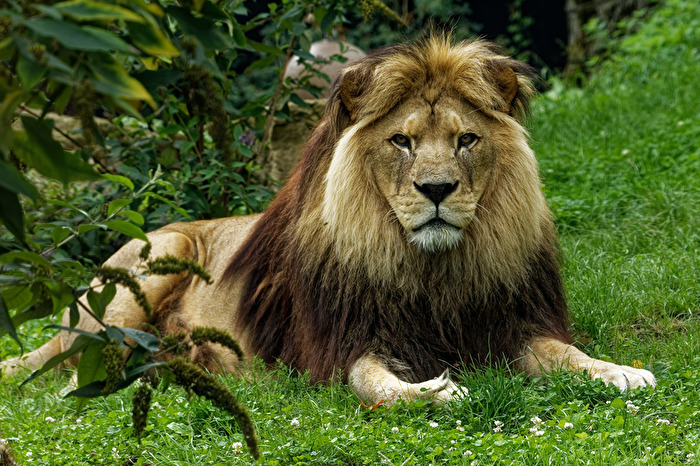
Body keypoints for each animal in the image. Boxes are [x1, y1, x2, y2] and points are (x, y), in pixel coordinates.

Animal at [1, 36, 656, 405]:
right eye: (401, 141)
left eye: (466, 140)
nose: (437, 190)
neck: (432, 270)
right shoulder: (341, 342)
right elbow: (372, 382)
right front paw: (428, 390)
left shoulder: (510, 324)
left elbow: (567, 354)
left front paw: (621, 373)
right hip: (157, 260)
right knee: (79, 368)